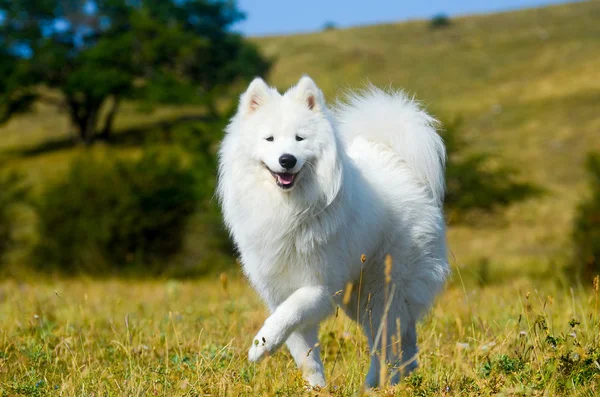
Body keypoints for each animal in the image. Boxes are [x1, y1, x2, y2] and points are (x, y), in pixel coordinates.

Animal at [218, 75, 448, 386]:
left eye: (299, 138)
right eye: (270, 139)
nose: (287, 159)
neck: (288, 209)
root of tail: (397, 161)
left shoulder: (320, 286)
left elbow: (290, 313)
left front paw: (261, 345)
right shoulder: (278, 289)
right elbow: (304, 354)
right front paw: (315, 387)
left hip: (381, 291)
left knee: (385, 342)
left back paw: (373, 384)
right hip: (363, 298)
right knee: (404, 337)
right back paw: (403, 376)